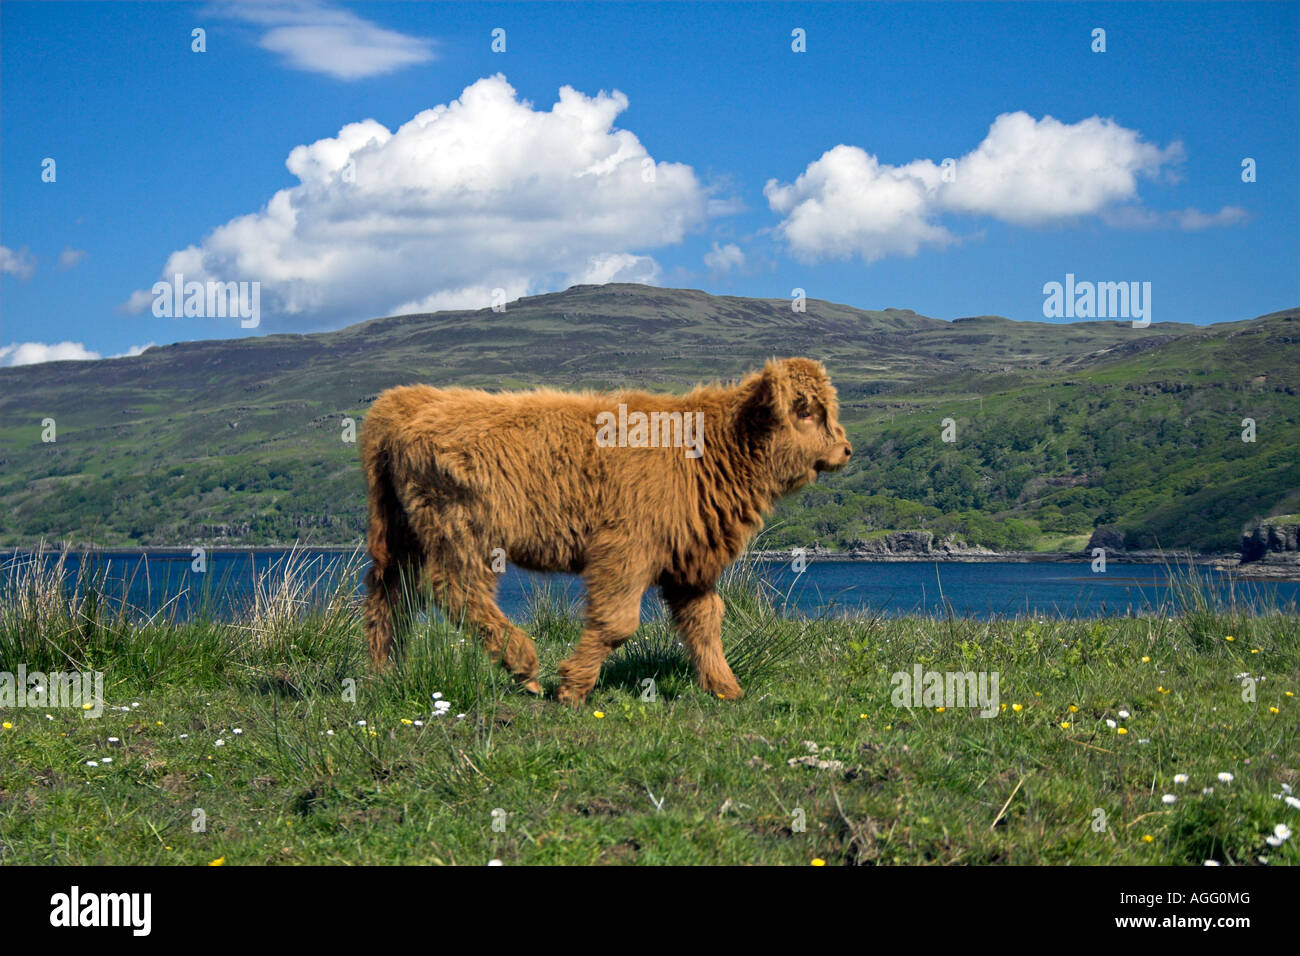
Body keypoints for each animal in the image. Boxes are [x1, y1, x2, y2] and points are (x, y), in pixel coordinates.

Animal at [360, 357, 851, 705]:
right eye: (806, 411)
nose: (846, 449)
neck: (707, 449)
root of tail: (411, 402)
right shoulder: (624, 550)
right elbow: (617, 622)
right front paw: (572, 687)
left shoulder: (688, 565)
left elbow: (706, 621)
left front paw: (725, 687)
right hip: (462, 531)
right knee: (454, 590)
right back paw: (524, 667)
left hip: (401, 534)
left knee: (388, 590)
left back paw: (384, 672)